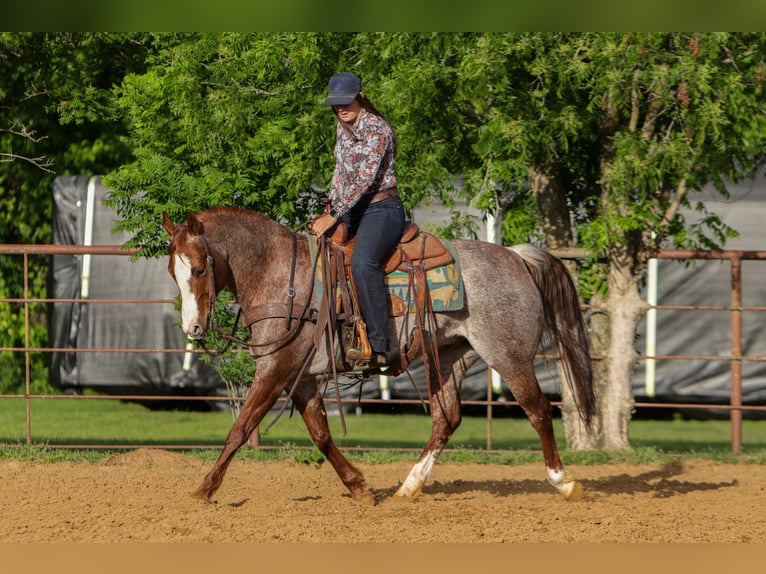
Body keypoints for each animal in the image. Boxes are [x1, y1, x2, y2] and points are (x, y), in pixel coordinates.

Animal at [162, 206, 596, 504]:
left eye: (199, 269)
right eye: (172, 271)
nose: (193, 329)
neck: (281, 276)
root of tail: (516, 257)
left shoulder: (275, 369)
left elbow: (240, 428)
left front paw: (203, 491)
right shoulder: (301, 376)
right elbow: (320, 434)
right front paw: (359, 487)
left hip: (508, 355)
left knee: (538, 409)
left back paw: (565, 482)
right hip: (450, 356)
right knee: (447, 420)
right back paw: (408, 488)